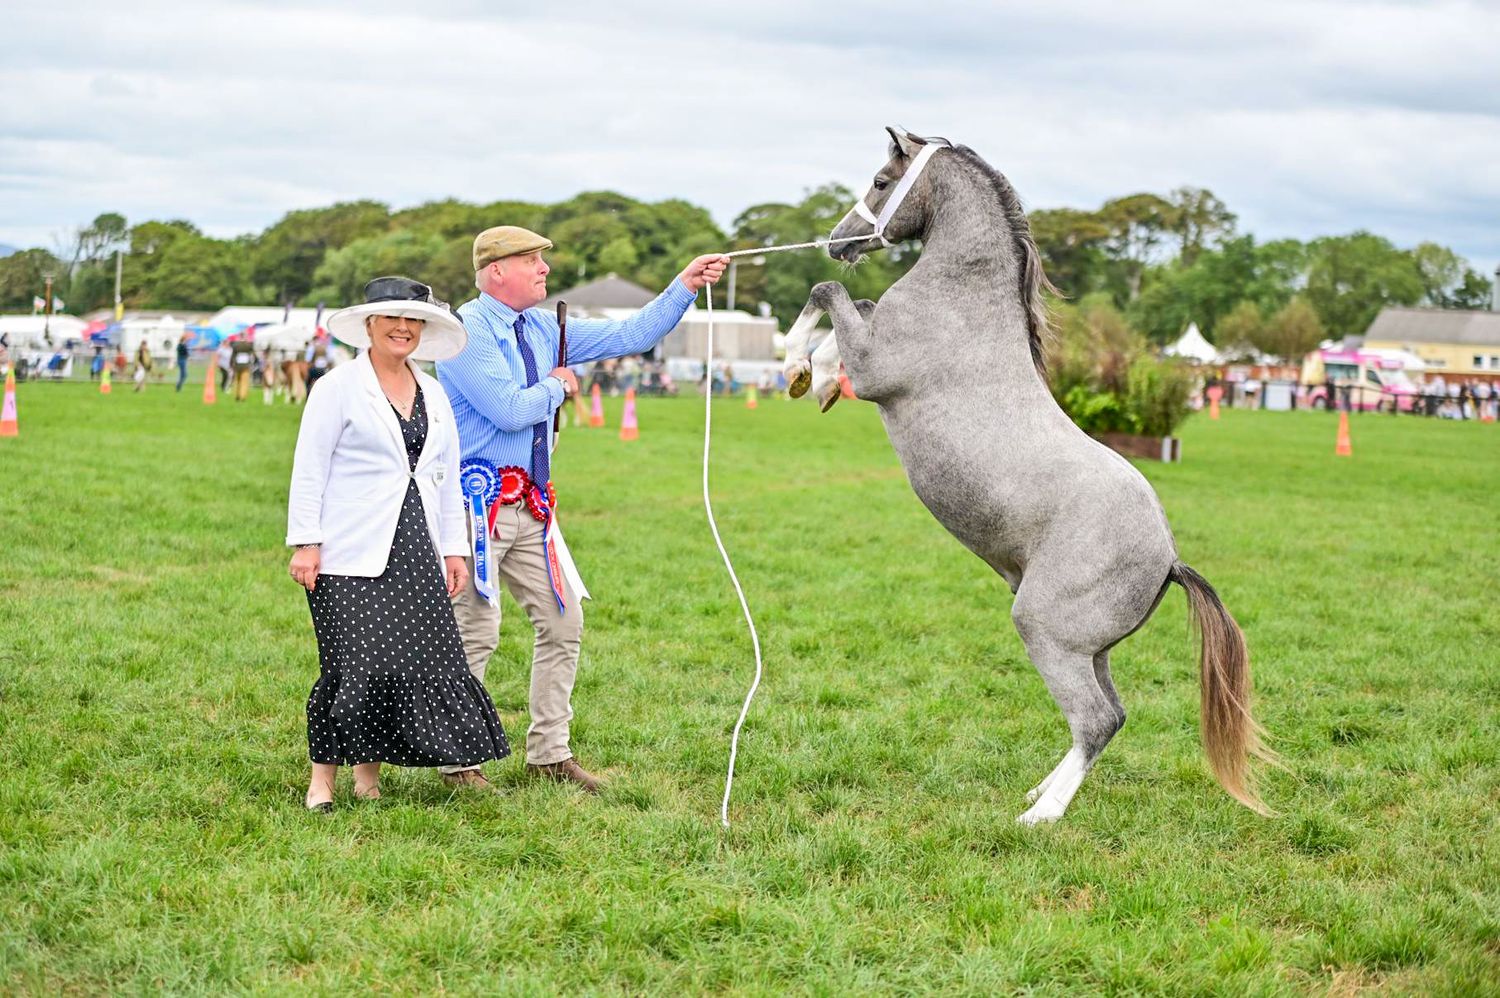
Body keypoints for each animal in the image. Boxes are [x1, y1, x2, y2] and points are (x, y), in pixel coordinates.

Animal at [782, 127, 1272, 824]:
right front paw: (814, 377)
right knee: (1112, 714)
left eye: (880, 181)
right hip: (1091, 650)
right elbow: (852, 301)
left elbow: (830, 294)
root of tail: (1169, 560)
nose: (838, 240)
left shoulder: (876, 369)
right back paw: (1042, 790)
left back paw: (1041, 816)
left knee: (1096, 720)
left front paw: (803, 366)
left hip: (1046, 632)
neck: (963, 297)